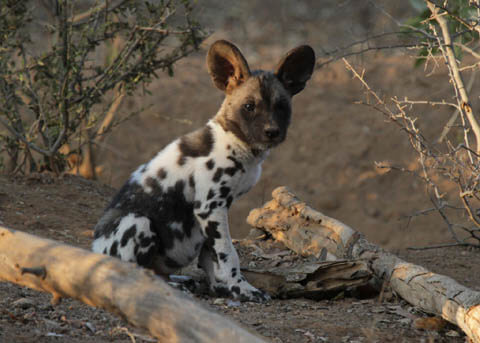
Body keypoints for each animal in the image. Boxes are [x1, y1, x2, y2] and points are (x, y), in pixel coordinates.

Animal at [92, 41, 316, 304]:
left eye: (281, 107)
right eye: (249, 107)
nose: (272, 132)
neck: (238, 145)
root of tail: (95, 251)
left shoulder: (213, 215)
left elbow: (214, 259)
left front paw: (222, 288)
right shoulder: (210, 208)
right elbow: (229, 254)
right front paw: (241, 289)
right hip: (138, 222)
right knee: (137, 270)